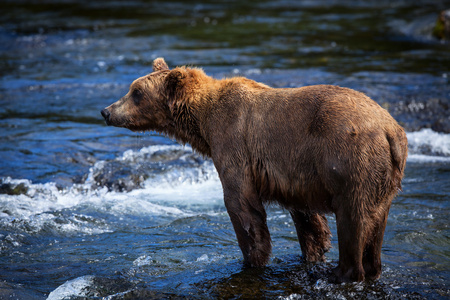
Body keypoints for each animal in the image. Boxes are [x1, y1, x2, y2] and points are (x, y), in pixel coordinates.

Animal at [101, 57, 408, 282]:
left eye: (136, 93)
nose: (106, 111)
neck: (202, 123)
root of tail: (390, 130)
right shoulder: (296, 171)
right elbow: (306, 217)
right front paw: (314, 250)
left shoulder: (234, 142)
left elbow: (241, 204)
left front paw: (252, 260)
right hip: (384, 177)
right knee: (376, 223)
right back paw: (371, 268)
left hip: (349, 161)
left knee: (353, 218)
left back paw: (341, 273)